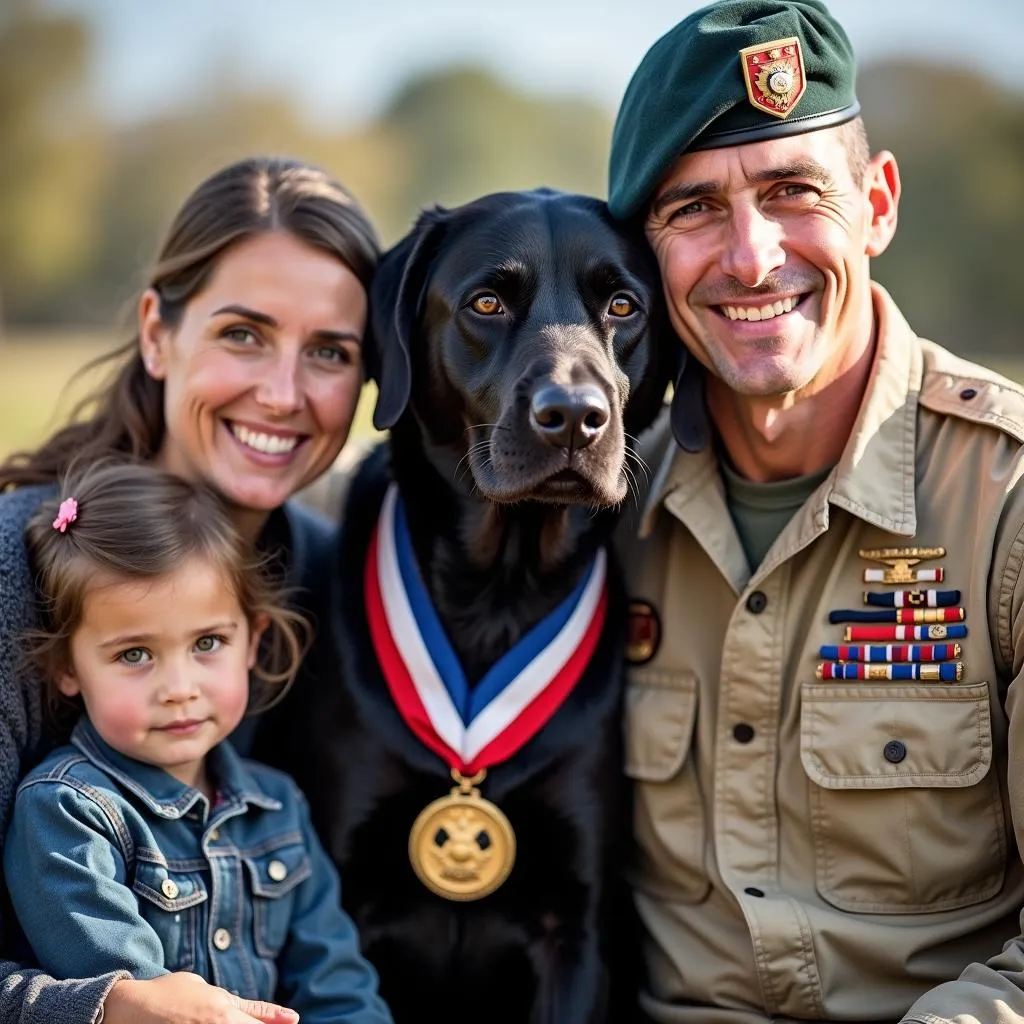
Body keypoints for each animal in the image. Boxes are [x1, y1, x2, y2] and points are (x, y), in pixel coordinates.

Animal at [256, 190, 671, 1024]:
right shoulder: (342, 893)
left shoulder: (576, 926)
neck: (495, 600)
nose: (573, 415)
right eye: (486, 303)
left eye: (623, 306)